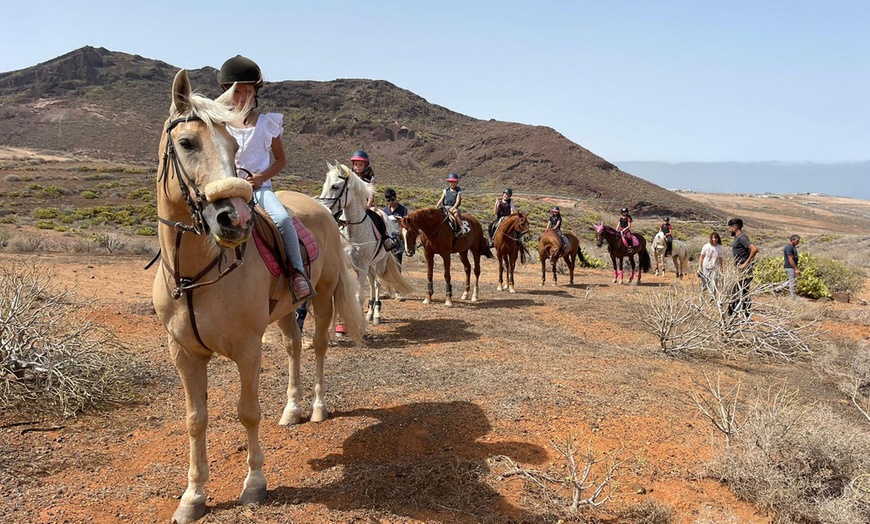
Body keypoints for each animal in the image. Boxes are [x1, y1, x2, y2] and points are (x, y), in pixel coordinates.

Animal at [153, 69, 364, 524]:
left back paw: (316, 408)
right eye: (187, 143)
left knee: (318, 347)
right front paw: (193, 496)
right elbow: (195, 420)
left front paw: (254, 485)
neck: (197, 272)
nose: (233, 218)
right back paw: (291, 410)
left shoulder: (248, 348)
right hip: (286, 311)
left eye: (233, 147)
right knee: (293, 348)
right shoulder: (184, 354)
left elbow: (247, 412)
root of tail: (322, 210)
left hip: (322, 299)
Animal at [320, 161, 416, 324]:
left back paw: (376, 313)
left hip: (379, 263)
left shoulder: (362, 267)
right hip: (370, 265)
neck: (352, 230)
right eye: (324, 185)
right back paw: (370, 312)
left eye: (335, 186)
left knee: (377, 282)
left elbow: (359, 296)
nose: (323, 209)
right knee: (372, 281)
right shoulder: (346, 265)